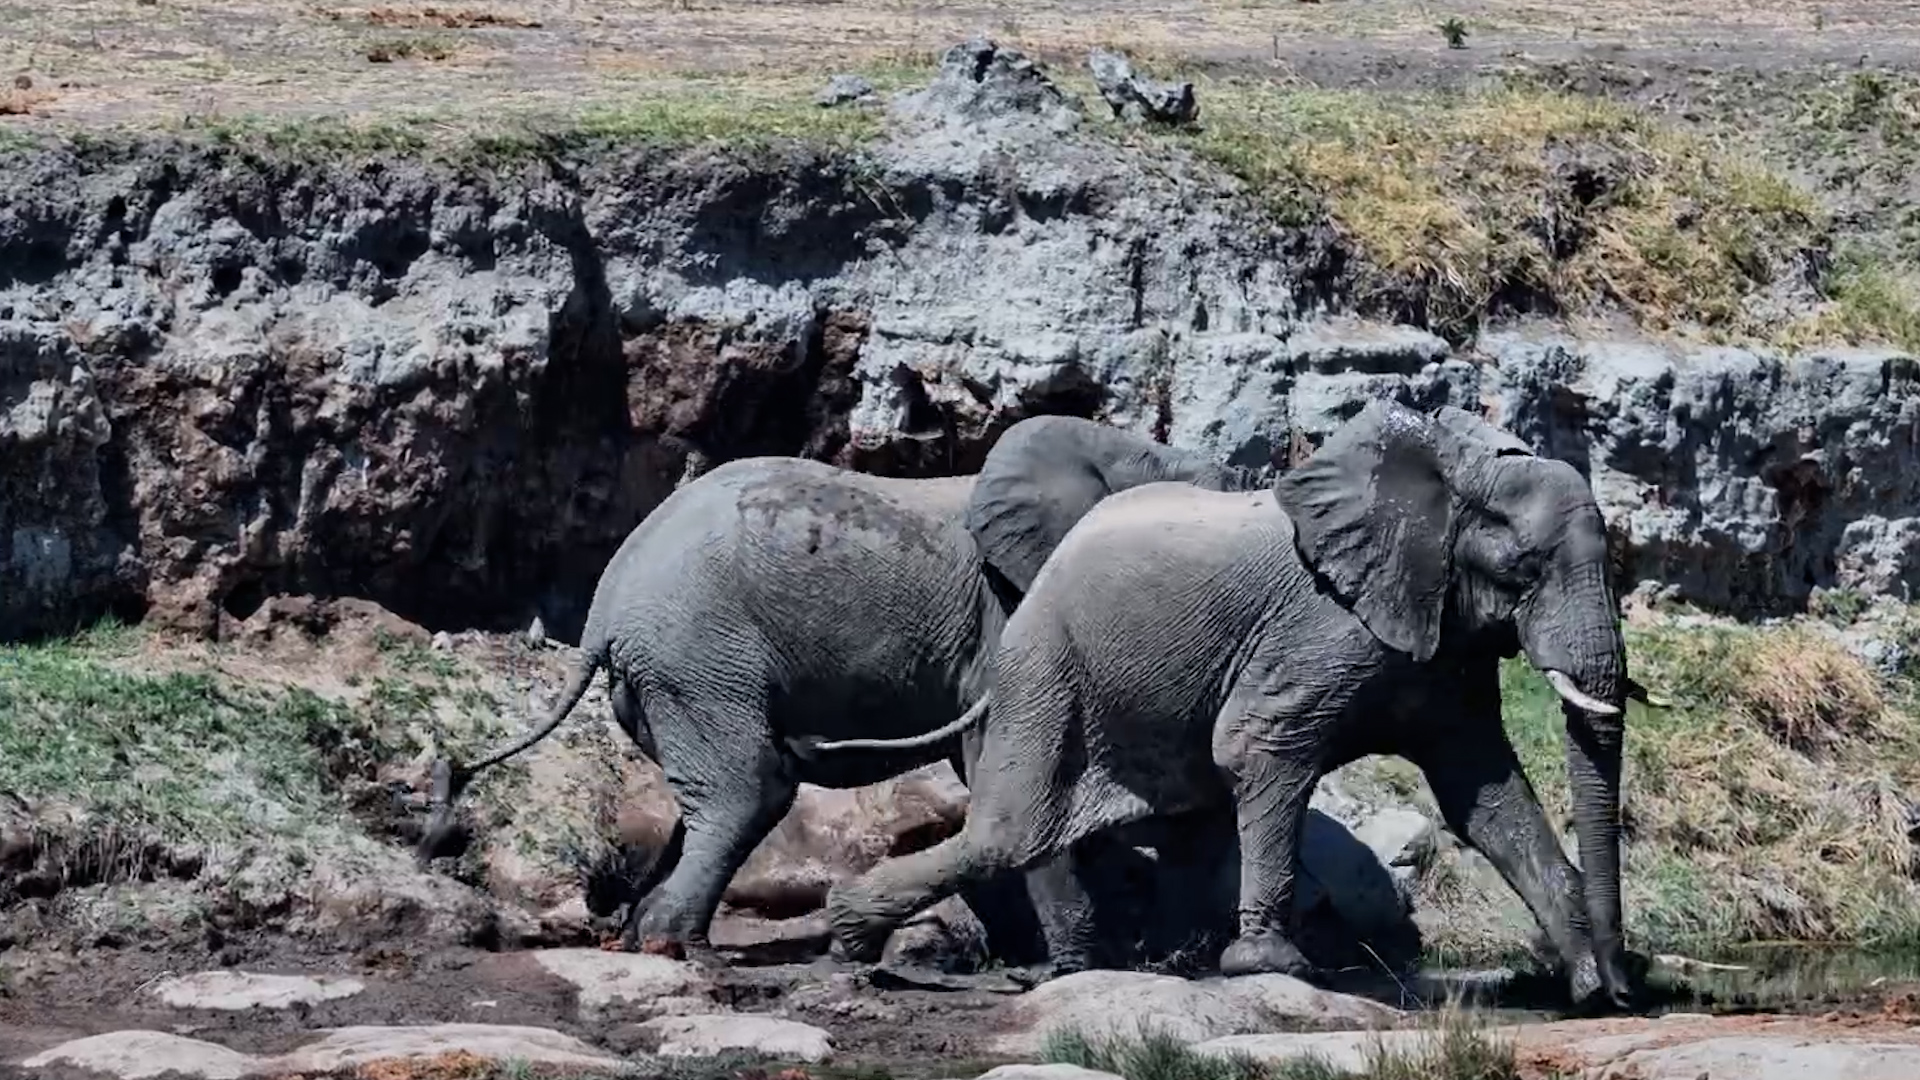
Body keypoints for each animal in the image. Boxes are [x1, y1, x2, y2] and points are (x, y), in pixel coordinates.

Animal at [414, 414, 1270, 961]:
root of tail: (603, 605)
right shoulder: (1006, 614)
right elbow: (1013, 771)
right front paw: (1082, 965)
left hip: (669, 676)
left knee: (714, 792)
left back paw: (643, 936)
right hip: (698, 654)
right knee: (752, 787)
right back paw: (676, 945)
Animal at [818, 400, 1652, 1010]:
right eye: (1525, 569)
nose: (1628, 989)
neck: (1449, 472)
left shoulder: (1442, 638)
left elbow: (1483, 793)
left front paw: (1585, 985)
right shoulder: (1325, 623)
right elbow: (1259, 744)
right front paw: (1270, 963)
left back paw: (1169, 961)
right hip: (1044, 659)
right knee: (1012, 831)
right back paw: (849, 932)